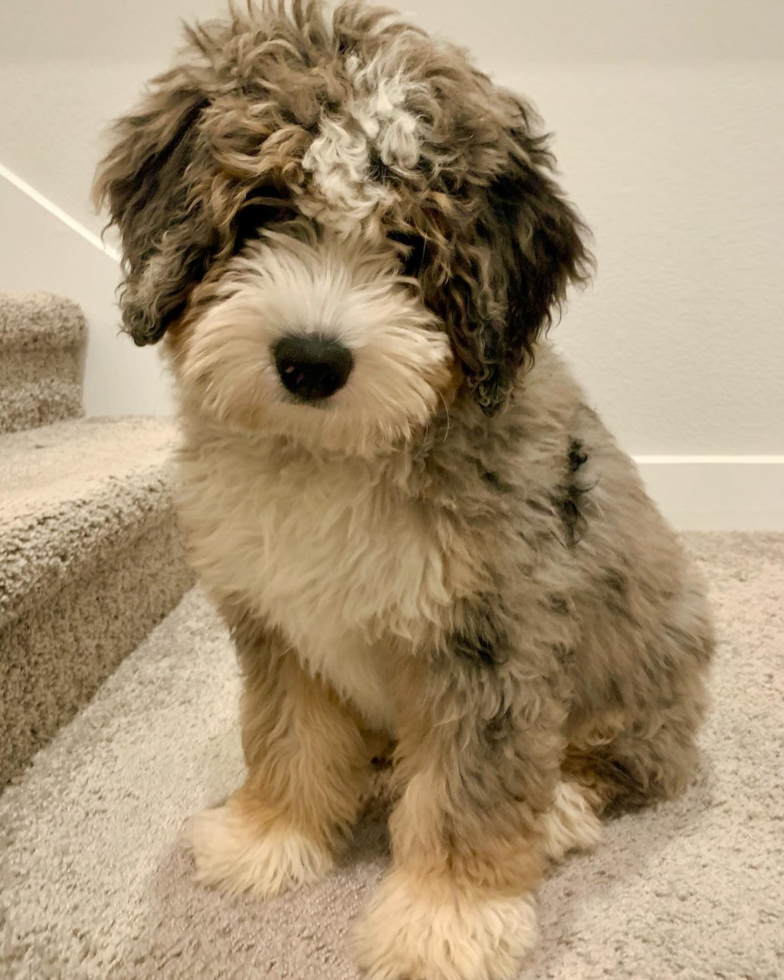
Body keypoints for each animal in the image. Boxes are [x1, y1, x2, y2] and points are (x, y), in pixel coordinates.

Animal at [95, 3, 712, 976]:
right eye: (262, 211)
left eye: (412, 247)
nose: (311, 361)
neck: (336, 457)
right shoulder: (276, 621)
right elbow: (287, 735)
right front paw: (271, 836)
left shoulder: (495, 641)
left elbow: (471, 786)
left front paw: (446, 919)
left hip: (655, 651)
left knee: (629, 759)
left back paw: (561, 807)